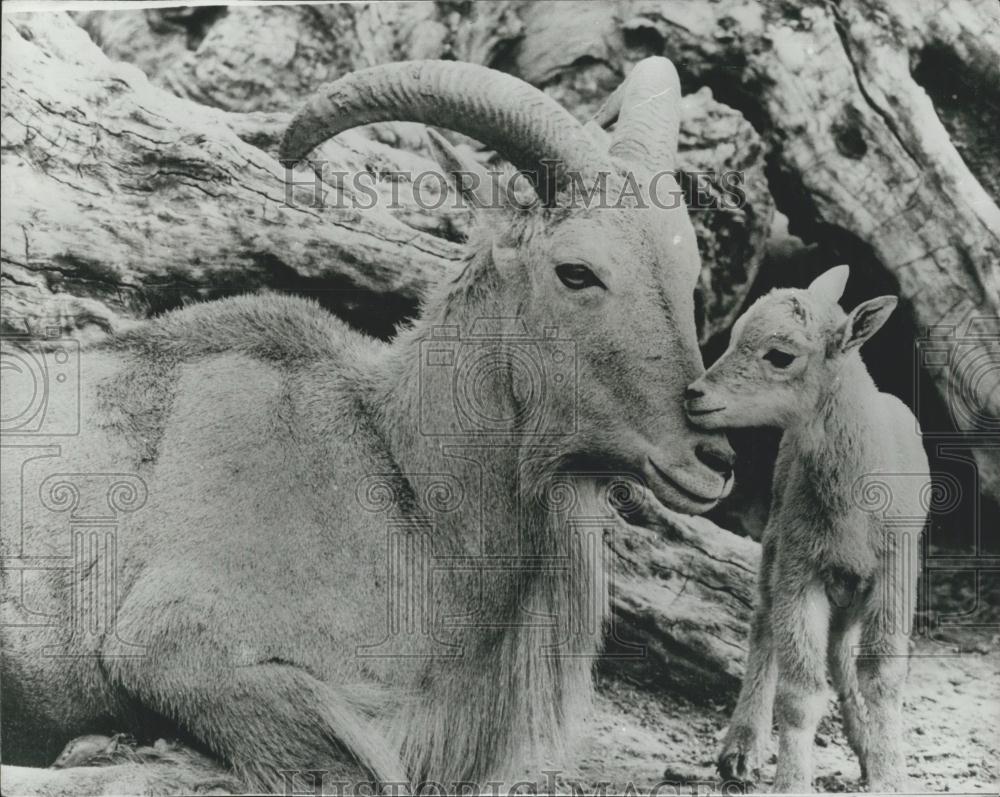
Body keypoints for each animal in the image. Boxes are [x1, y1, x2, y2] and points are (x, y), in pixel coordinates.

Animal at [688, 266, 928, 788]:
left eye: (781, 355)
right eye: (733, 336)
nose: (694, 394)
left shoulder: (895, 569)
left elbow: (882, 680)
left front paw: (889, 775)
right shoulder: (802, 568)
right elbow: (799, 695)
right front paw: (791, 780)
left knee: (839, 650)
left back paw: (864, 748)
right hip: (777, 539)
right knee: (763, 624)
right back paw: (740, 750)